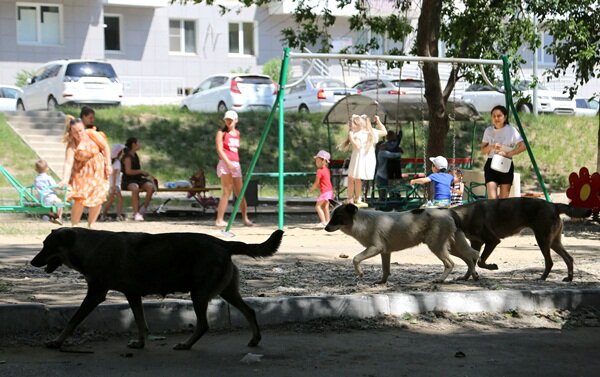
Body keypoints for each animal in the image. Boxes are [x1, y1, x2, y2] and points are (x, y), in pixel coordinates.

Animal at [31, 226, 284, 350]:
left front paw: (57, 342)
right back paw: (255, 339)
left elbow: (72, 321)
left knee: (203, 325)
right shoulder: (133, 296)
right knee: (250, 311)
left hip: (199, 295)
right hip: (226, 292)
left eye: (46, 246)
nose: (32, 262)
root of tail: (224, 243)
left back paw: (186, 345)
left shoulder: (95, 295)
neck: (90, 247)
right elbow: (141, 324)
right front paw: (141, 343)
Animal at [454, 198, 592, 280]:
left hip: (542, 240)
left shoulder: (492, 241)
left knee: (550, 262)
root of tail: (553, 205)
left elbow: (480, 262)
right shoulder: (476, 244)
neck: (465, 216)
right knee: (569, 258)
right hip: (553, 242)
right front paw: (467, 277)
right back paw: (569, 278)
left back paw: (542, 278)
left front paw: (492, 267)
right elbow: (471, 264)